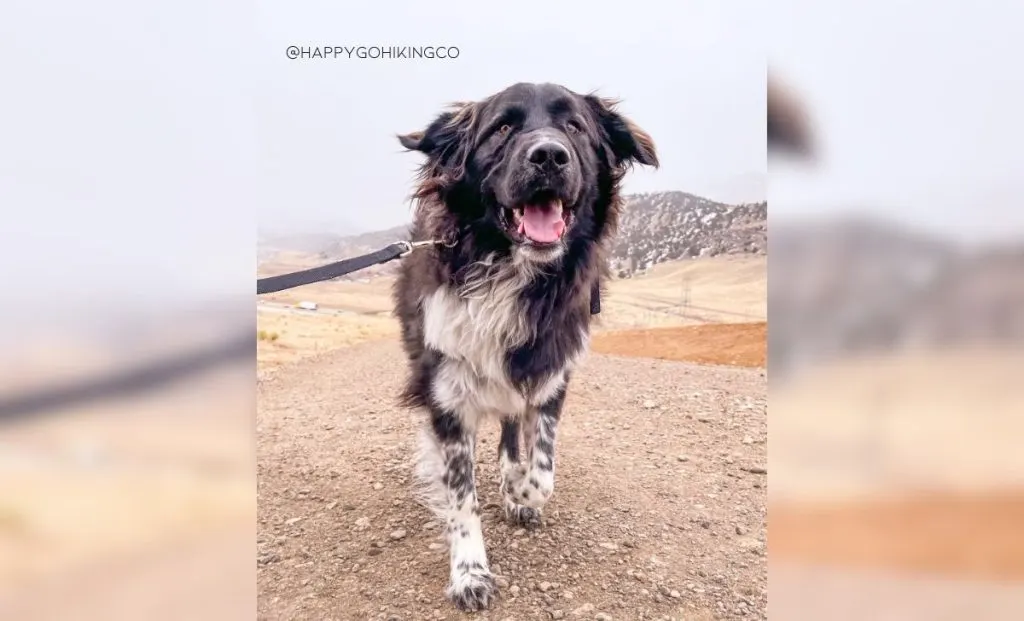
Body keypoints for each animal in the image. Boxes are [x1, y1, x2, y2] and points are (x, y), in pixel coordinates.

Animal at [387, 83, 659, 614]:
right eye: (502, 128)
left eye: (575, 126)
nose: (549, 155)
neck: (512, 271)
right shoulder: (447, 395)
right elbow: (461, 496)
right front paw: (470, 572)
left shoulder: (552, 370)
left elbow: (543, 469)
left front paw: (518, 490)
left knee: (514, 432)